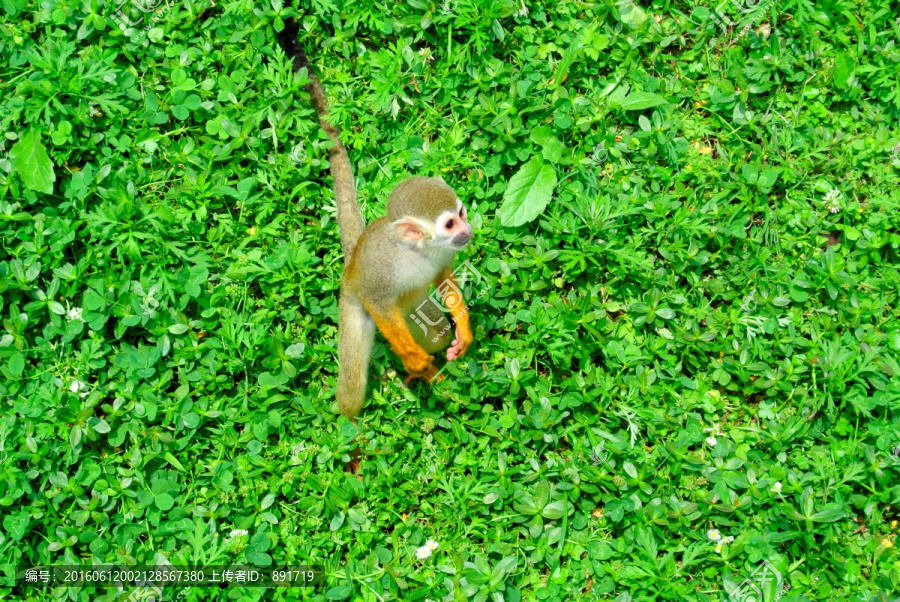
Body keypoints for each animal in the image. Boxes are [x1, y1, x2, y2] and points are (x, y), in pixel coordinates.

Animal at [276, 22, 474, 418]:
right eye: (449, 224)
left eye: (460, 215)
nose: (468, 230)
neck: (418, 251)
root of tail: (353, 256)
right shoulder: (381, 275)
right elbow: (379, 301)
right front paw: (413, 359)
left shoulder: (443, 256)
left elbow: (443, 278)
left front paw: (463, 327)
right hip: (352, 303)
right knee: (353, 383)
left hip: (414, 311)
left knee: (433, 329)